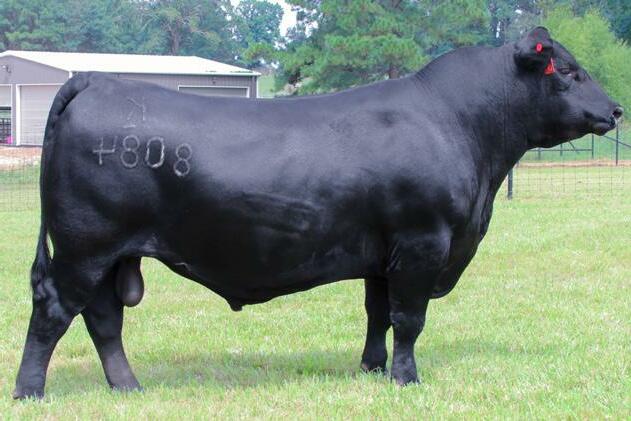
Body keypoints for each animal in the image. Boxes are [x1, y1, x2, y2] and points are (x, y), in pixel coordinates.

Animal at [13, 27, 622, 399]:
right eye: (567, 71)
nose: (616, 109)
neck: (460, 128)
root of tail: (95, 78)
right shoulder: (423, 243)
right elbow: (409, 319)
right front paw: (406, 380)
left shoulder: (385, 253)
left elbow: (378, 313)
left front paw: (372, 369)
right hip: (85, 247)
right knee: (54, 311)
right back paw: (29, 391)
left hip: (112, 254)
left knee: (103, 318)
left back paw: (127, 387)